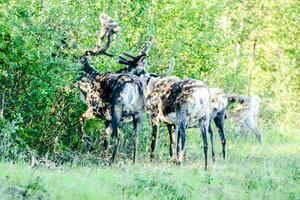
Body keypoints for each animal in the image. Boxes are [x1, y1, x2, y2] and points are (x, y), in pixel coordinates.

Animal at [76, 13, 144, 164]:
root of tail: (133, 83)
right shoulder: (106, 119)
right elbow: (105, 140)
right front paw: (101, 156)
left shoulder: (95, 108)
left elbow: (80, 120)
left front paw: (87, 142)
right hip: (138, 113)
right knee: (134, 138)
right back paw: (133, 162)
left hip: (117, 109)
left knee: (119, 137)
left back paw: (111, 162)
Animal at [117, 36, 211, 169]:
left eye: (128, 68)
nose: (118, 73)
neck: (148, 87)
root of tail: (202, 95)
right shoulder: (170, 123)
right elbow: (172, 145)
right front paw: (172, 160)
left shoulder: (155, 115)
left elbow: (154, 141)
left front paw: (152, 160)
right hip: (204, 119)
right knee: (205, 143)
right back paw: (205, 167)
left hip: (183, 117)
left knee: (184, 140)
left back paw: (180, 162)